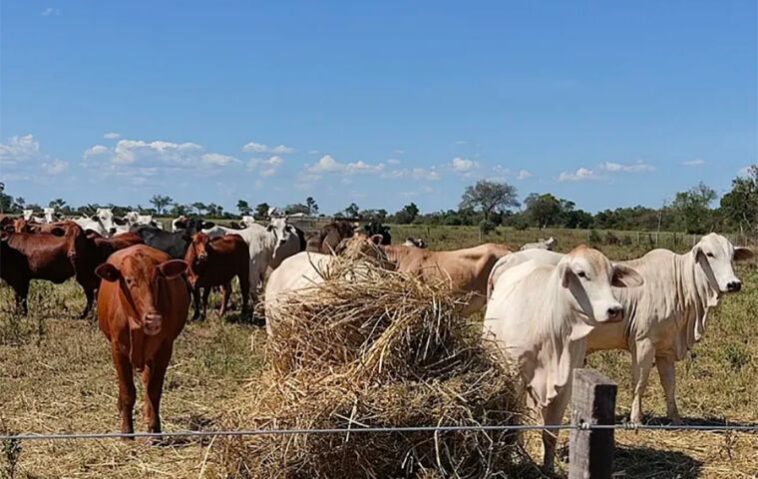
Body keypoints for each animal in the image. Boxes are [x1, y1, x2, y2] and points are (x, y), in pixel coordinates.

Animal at [95, 246, 191, 436]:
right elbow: (127, 391)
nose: (153, 319)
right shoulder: (117, 349)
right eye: (128, 280)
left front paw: (155, 430)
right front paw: (126, 432)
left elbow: (153, 391)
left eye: (157, 279)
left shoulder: (164, 349)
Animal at [486, 246, 640, 470]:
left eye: (611, 276)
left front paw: (548, 468)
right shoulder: (515, 377)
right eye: (582, 273)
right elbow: (515, 424)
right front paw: (513, 457)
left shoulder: (565, 385)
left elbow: (550, 434)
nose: (615, 310)